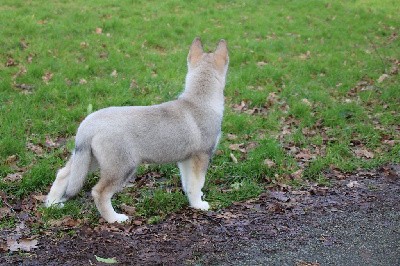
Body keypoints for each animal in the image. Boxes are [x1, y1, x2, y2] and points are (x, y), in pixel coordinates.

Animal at [44, 37, 228, 223]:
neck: (199, 101)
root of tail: (89, 123)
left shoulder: (185, 160)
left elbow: (189, 184)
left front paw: (193, 202)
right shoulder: (202, 156)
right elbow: (197, 184)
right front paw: (199, 205)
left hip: (87, 160)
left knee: (63, 174)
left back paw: (52, 204)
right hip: (122, 168)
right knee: (99, 192)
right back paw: (115, 218)